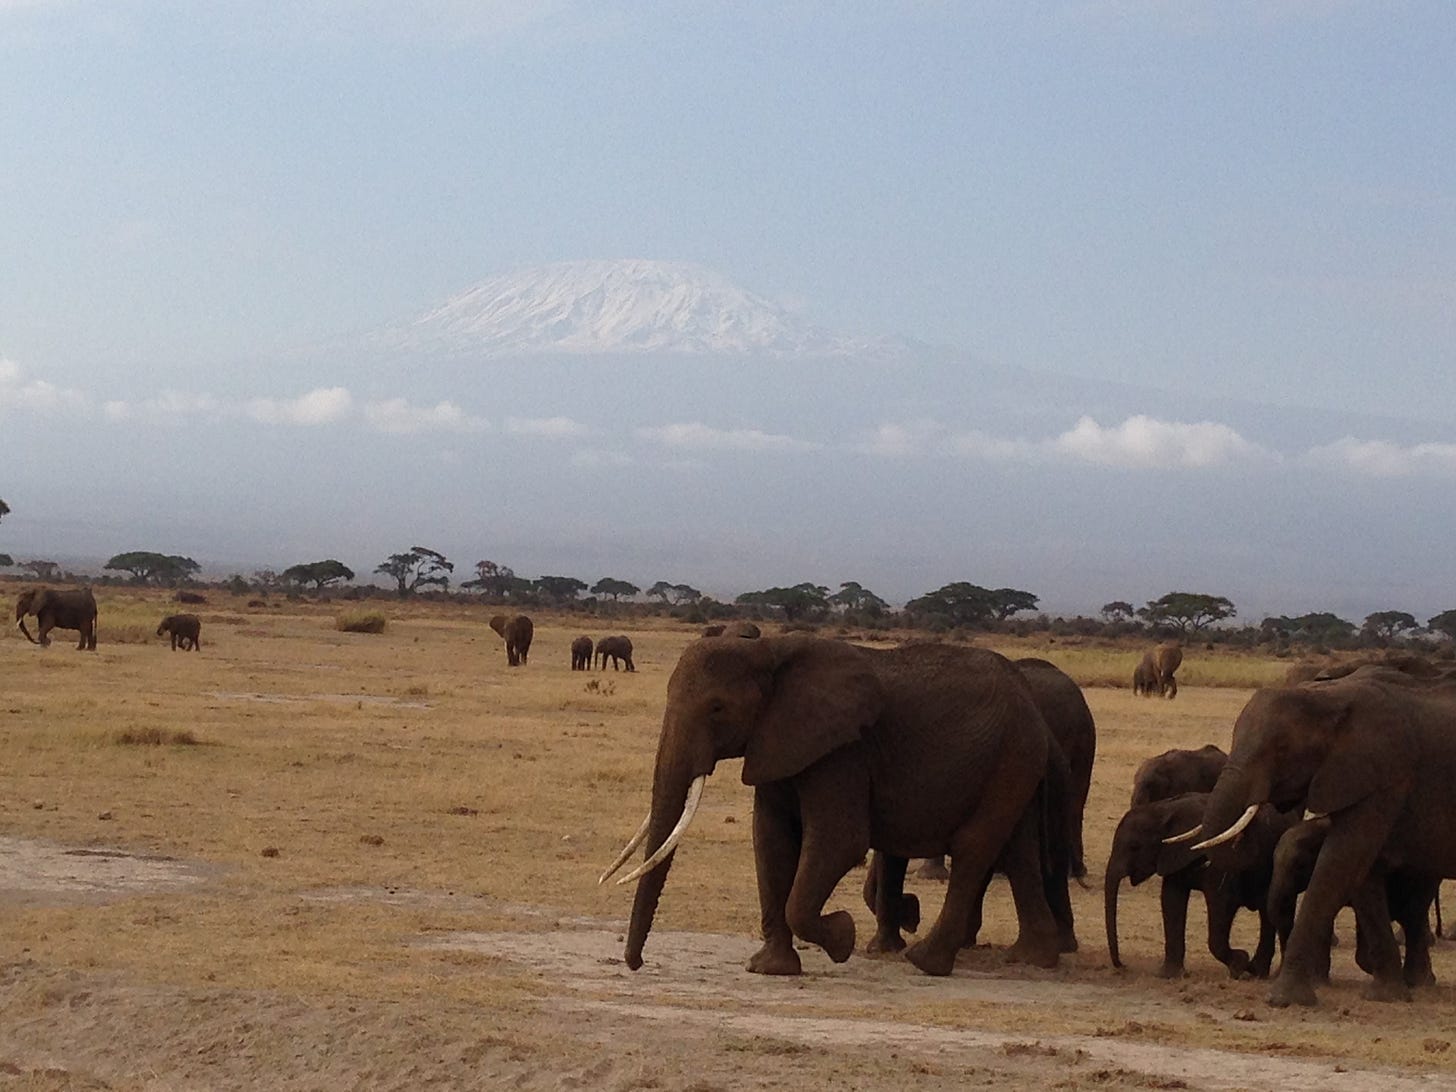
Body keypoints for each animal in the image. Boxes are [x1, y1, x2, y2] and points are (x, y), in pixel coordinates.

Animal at [596, 637, 1065, 978]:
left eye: (716, 708)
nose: (636, 964)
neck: (770, 651)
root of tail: (1033, 703)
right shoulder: (778, 742)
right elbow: (770, 840)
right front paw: (771, 969)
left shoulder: (843, 750)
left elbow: (840, 842)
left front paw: (843, 937)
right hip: (1015, 760)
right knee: (1018, 850)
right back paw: (1033, 958)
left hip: (1012, 754)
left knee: (975, 848)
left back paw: (926, 962)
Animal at [1100, 792, 1298, 978]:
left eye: (1134, 847)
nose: (1123, 965)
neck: (1164, 808)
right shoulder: (1173, 856)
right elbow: (1172, 900)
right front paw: (1170, 975)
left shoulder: (1222, 860)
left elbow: (1220, 903)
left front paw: (1240, 963)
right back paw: (1257, 971)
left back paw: (1255, 972)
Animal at [1188, 666, 1456, 1007]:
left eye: (1282, 750)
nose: (1243, 962)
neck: (1329, 696)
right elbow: (1362, 871)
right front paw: (1385, 995)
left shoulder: (1386, 777)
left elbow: (1341, 861)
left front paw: (1283, 999)